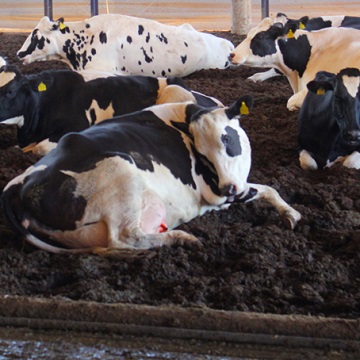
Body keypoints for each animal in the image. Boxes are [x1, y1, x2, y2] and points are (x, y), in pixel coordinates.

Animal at [2, 100, 300, 255]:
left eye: (226, 139)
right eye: (202, 155)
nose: (227, 188)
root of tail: (17, 185)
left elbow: (267, 189)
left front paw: (289, 213)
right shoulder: (214, 192)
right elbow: (265, 188)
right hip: (121, 171)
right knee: (124, 238)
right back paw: (182, 238)